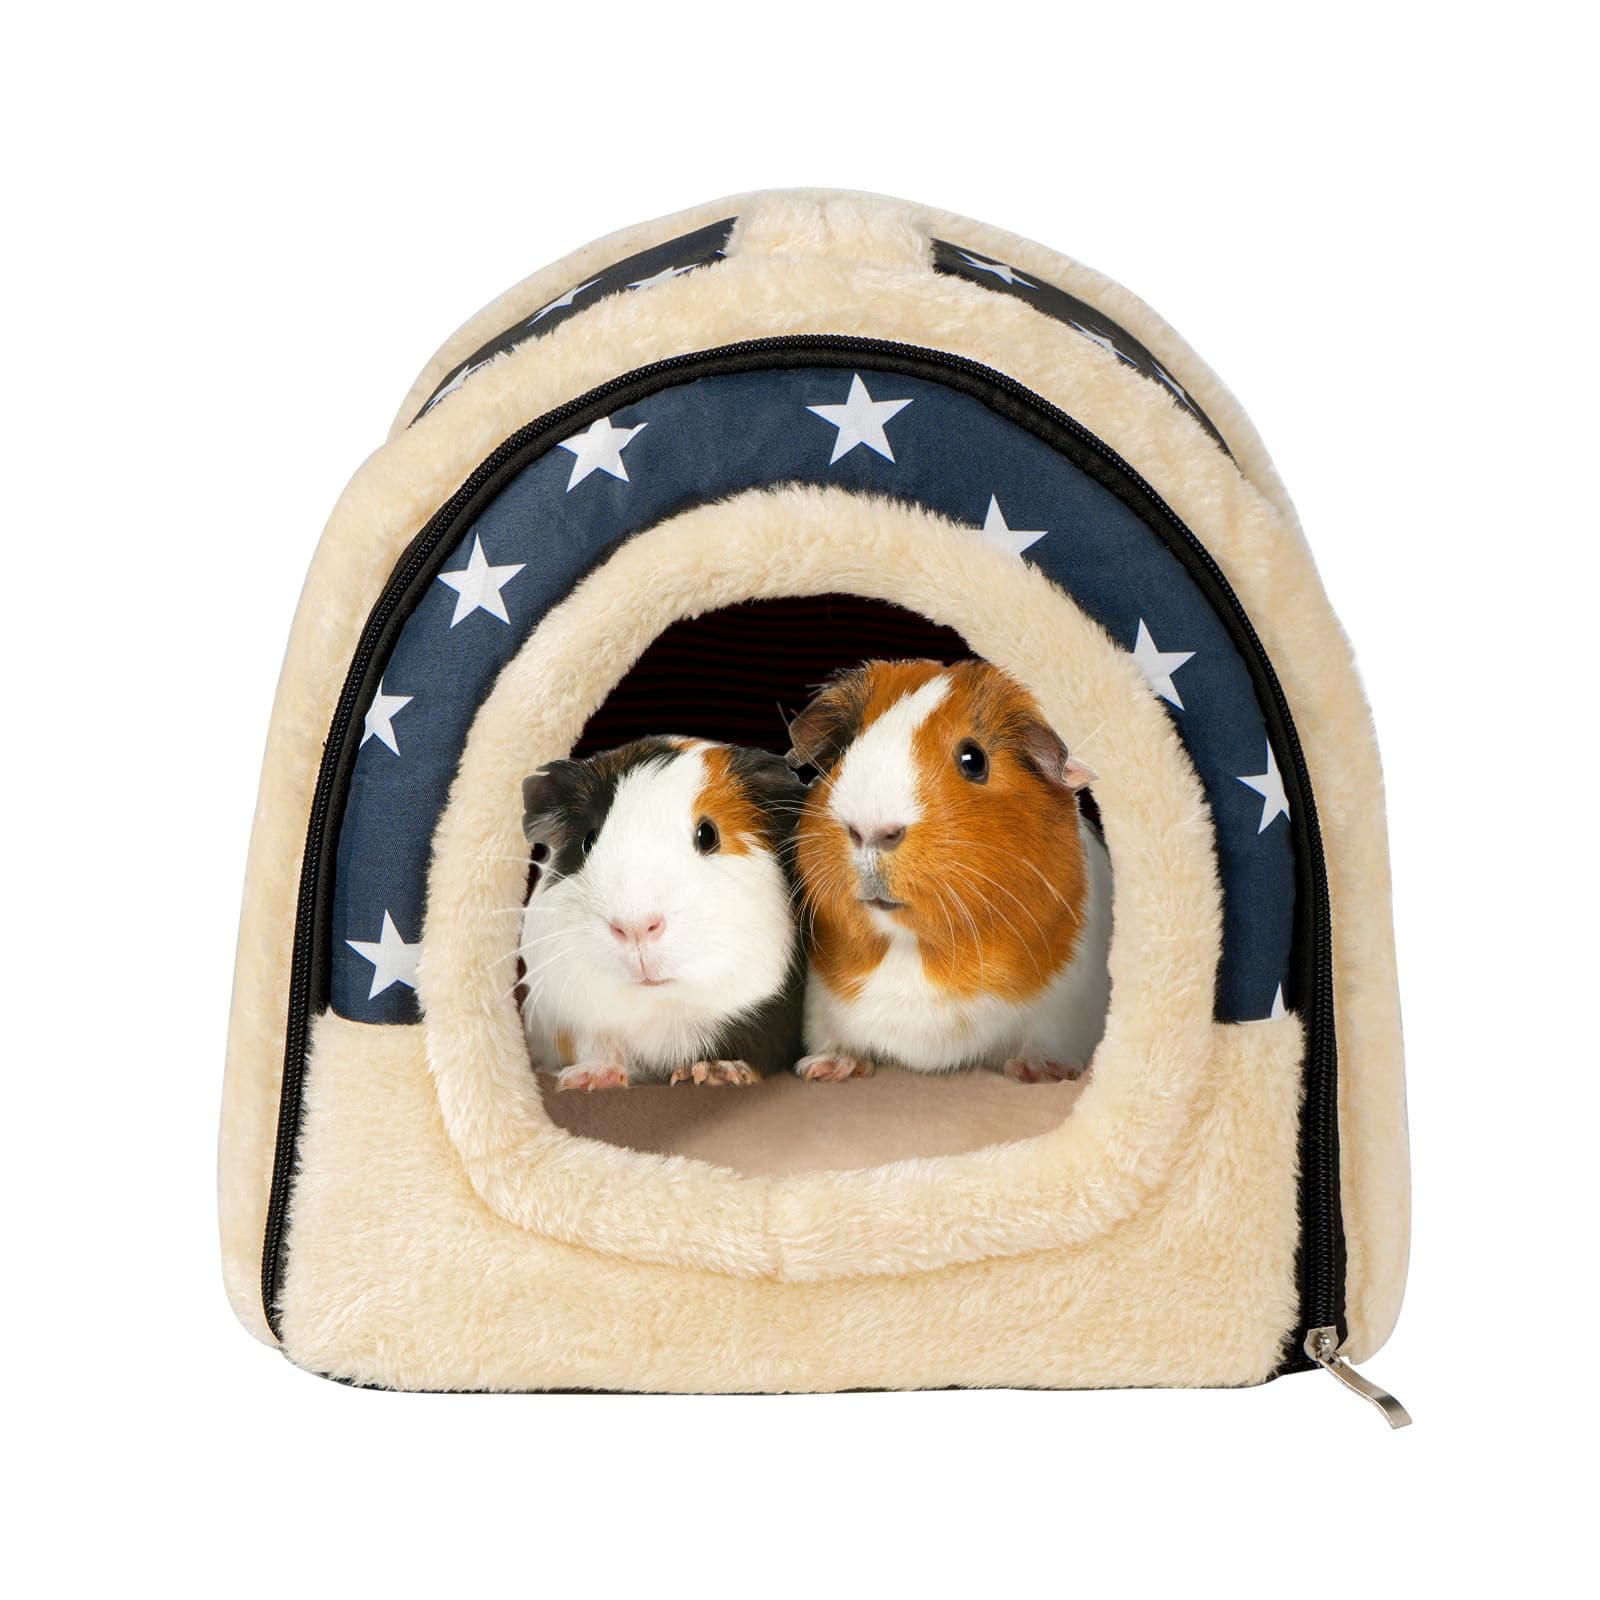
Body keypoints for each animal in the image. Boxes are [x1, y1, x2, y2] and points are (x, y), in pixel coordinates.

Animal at [518, 737, 806, 1090]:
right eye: (588, 841)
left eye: (708, 834)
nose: (635, 927)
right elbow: (598, 1042)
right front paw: (587, 1079)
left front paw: (712, 1072)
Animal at [785, 660, 1112, 1083]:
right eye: (845, 749)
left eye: (974, 760)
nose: (870, 830)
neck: (914, 949)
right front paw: (823, 1068)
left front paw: (1041, 1071)